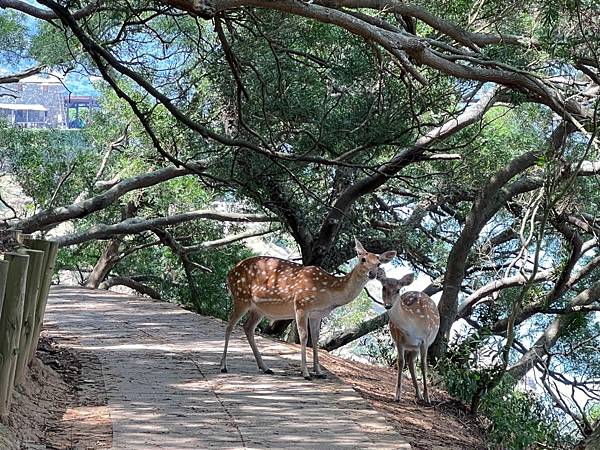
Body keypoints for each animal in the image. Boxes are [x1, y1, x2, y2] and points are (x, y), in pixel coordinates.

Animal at [218, 239, 396, 380]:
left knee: (248, 327)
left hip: (258, 309)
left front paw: (319, 372)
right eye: (363, 259)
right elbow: (304, 337)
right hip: (241, 297)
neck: (329, 294)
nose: (372, 273)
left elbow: (315, 340)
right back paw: (223, 366)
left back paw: (265, 367)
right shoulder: (301, 305)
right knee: (230, 326)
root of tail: (229, 273)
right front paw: (305, 373)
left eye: (379, 262)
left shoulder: (317, 314)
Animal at [380, 268, 440, 404]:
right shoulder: (399, 340)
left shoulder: (425, 340)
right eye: (383, 287)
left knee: (412, 361)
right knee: (409, 361)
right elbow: (400, 362)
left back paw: (421, 395)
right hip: (412, 347)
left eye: (398, 290)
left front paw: (428, 397)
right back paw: (418, 394)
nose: (388, 305)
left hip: (417, 346)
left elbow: (423, 365)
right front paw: (397, 395)